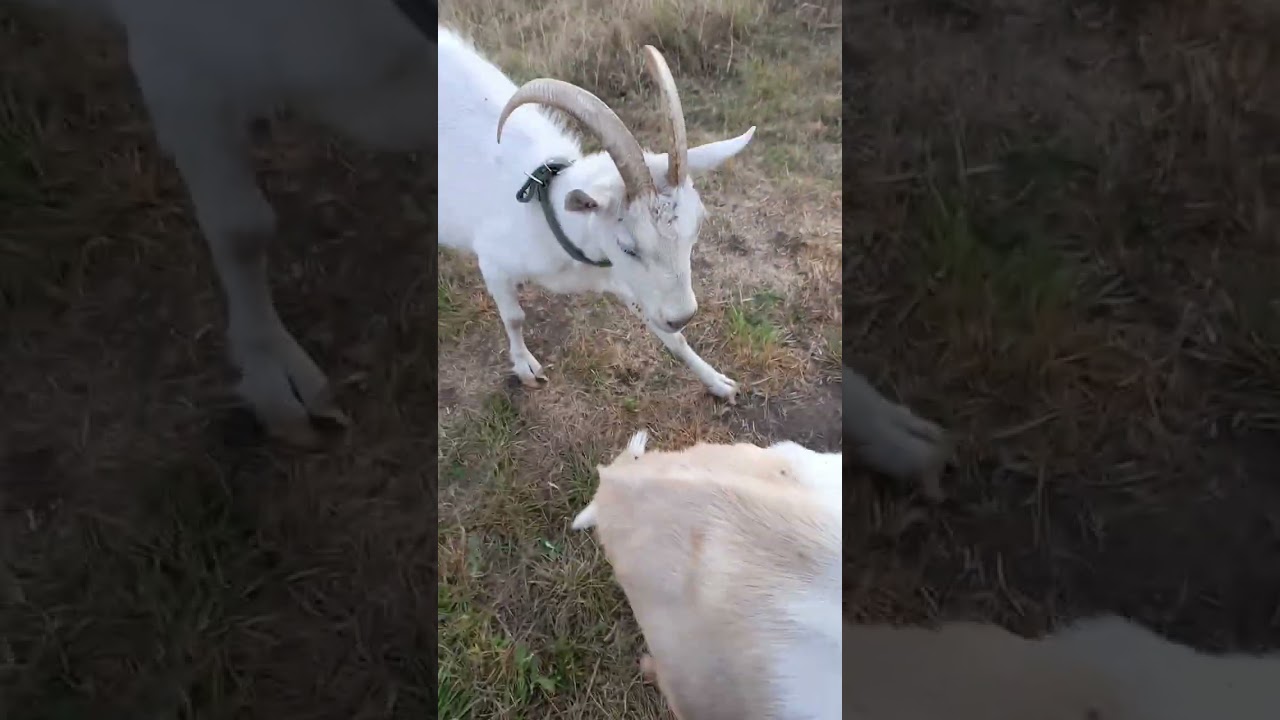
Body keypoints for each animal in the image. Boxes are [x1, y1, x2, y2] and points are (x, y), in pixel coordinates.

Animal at [438, 27, 754, 401]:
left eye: (696, 231)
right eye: (628, 246)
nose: (683, 315)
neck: (544, 211)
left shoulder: (620, 277)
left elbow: (669, 336)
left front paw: (718, 382)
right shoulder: (493, 262)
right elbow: (514, 317)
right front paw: (526, 367)